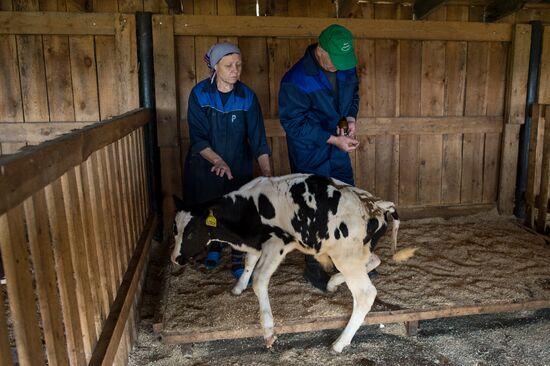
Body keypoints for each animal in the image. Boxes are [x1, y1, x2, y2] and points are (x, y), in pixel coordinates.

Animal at [172, 173, 402, 354]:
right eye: (175, 229)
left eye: (192, 232)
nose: (175, 258)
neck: (250, 208)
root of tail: (376, 203)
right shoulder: (258, 243)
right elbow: (249, 262)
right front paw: (238, 287)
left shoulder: (277, 243)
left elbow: (259, 280)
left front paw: (268, 331)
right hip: (356, 253)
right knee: (375, 260)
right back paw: (332, 283)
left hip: (347, 257)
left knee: (365, 294)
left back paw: (339, 343)